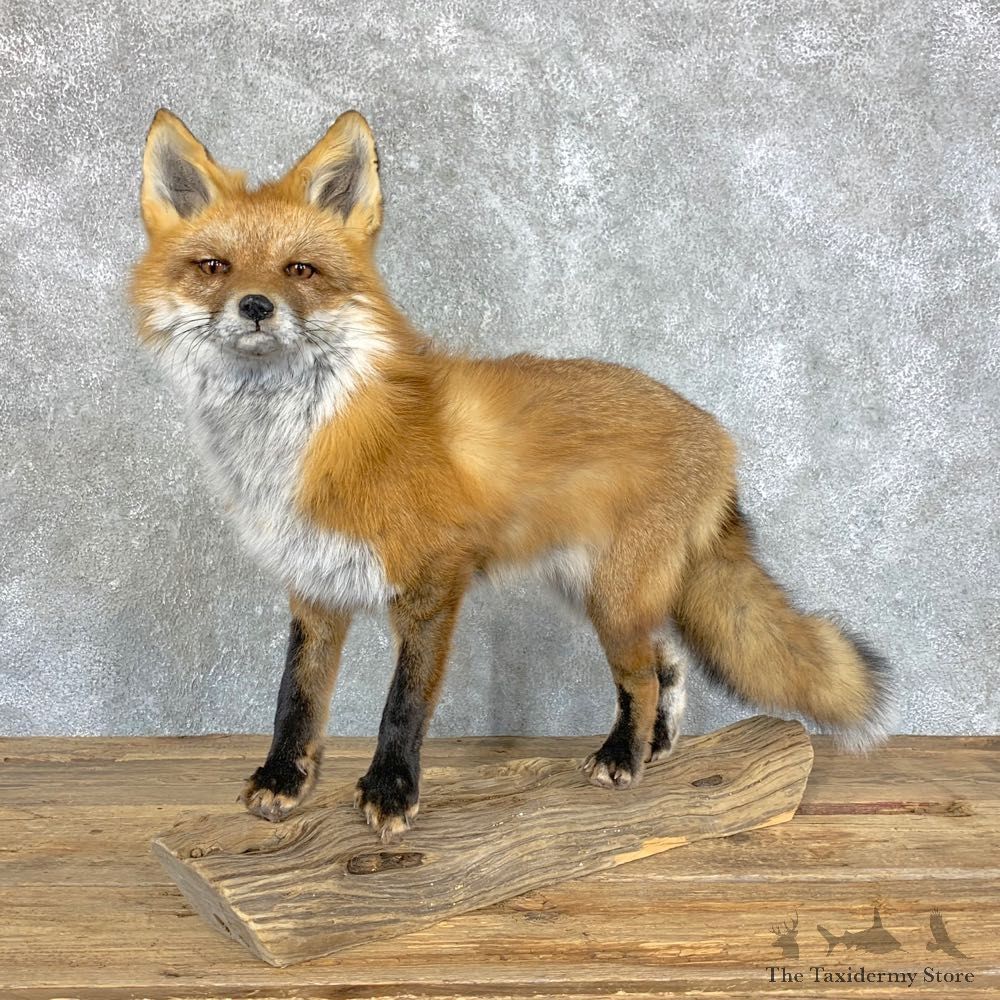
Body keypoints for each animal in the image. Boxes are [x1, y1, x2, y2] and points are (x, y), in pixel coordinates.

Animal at [130, 108, 891, 841]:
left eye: (300, 271)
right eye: (215, 266)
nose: (256, 307)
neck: (298, 442)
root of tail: (717, 430)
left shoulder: (433, 582)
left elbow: (403, 703)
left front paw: (390, 792)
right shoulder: (315, 583)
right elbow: (297, 695)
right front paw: (285, 779)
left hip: (612, 594)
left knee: (643, 675)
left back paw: (623, 756)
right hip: (592, 586)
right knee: (667, 660)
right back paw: (654, 747)